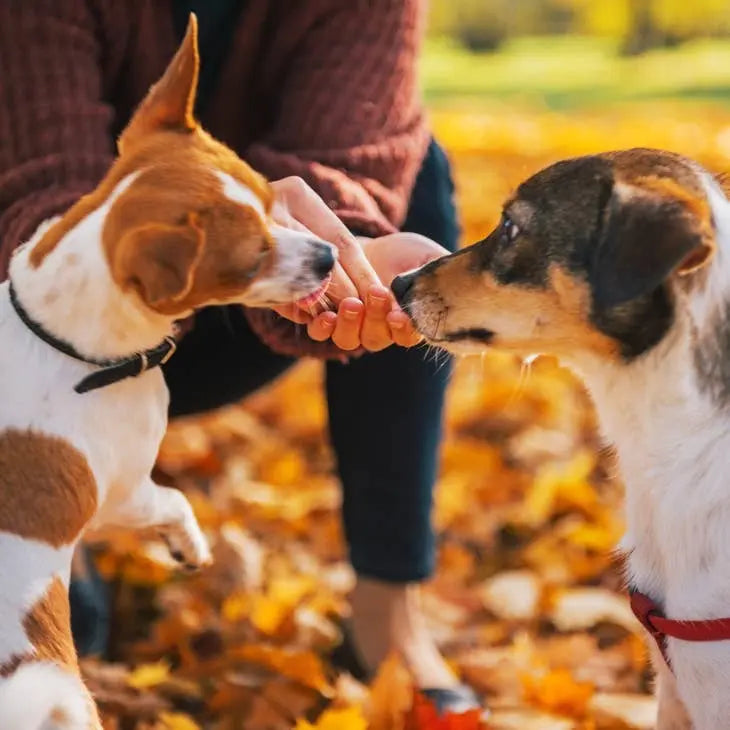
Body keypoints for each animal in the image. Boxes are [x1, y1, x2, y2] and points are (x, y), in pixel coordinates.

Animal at [0, 17, 334, 728]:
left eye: (272, 198)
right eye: (249, 261)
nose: (326, 256)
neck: (65, 345)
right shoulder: (122, 493)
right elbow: (175, 499)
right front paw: (190, 548)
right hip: (57, 692)